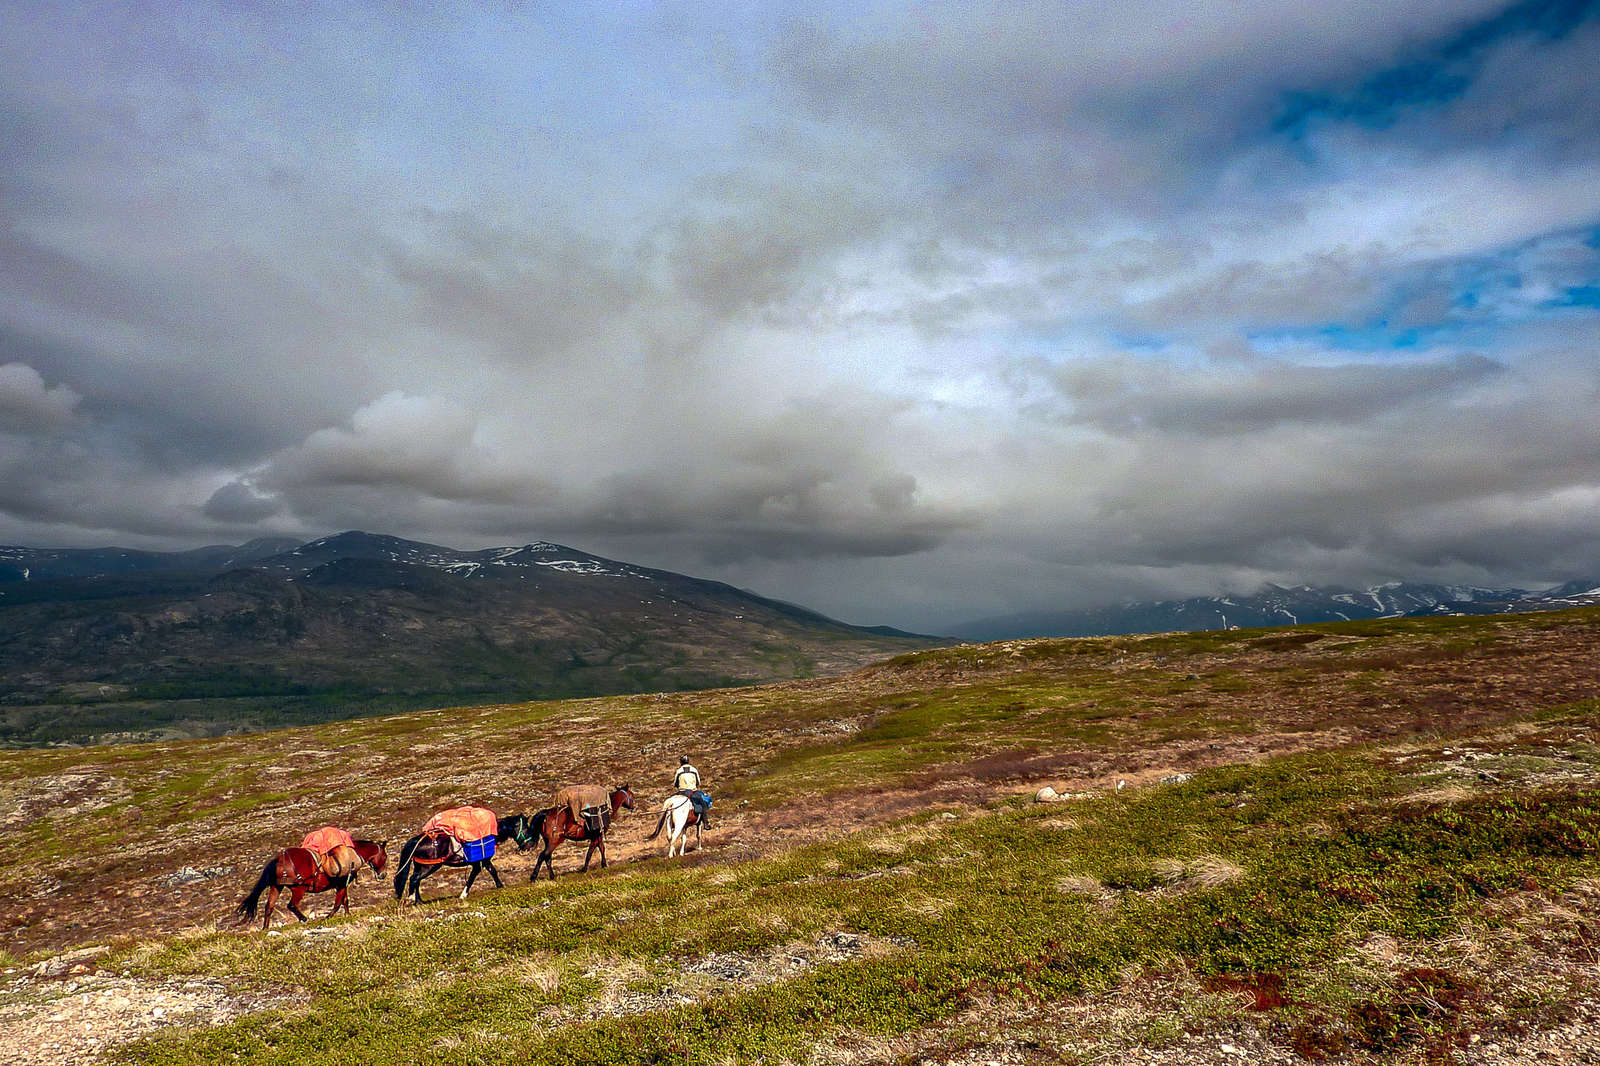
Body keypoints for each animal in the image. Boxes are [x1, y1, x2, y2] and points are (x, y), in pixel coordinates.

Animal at [233, 832, 390, 928]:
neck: (354, 852)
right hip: (299, 889)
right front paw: (328, 917)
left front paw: (347, 915)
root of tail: (279, 858)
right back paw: (303, 918)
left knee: (269, 907)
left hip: (276, 887)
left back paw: (265, 928)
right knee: (291, 905)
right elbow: (338, 903)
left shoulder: (342, 885)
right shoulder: (341, 884)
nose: (383, 875)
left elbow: (344, 901)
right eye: (385, 856)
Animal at [393, 809, 537, 902]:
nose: (530, 846)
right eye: (526, 828)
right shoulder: (481, 861)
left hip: (420, 865)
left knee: (416, 880)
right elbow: (479, 874)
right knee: (414, 879)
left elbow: (489, 871)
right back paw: (413, 900)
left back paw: (419, 901)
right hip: (431, 866)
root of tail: (418, 840)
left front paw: (499, 886)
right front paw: (463, 895)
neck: (492, 833)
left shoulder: (482, 861)